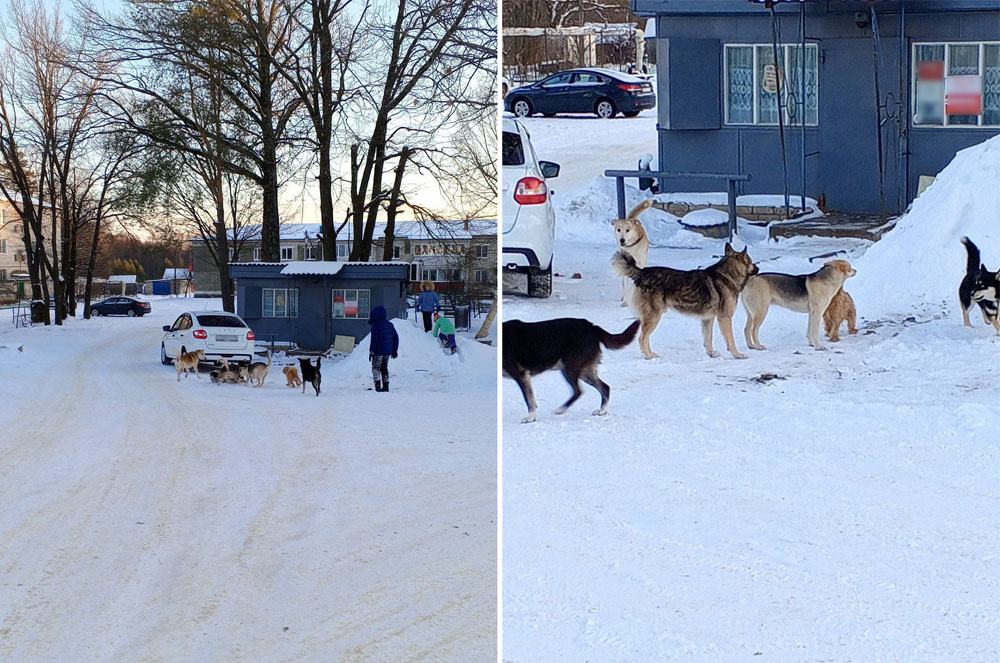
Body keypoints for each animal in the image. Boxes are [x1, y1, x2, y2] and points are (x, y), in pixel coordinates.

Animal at [504, 318, 636, 426]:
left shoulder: (521, 375)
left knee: (579, 391)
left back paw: (561, 409)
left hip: (570, 369)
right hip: (585, 372)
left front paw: (530, 418)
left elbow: (529, 400)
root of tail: (592, 327)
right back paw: (602, 411)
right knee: (604, 387)